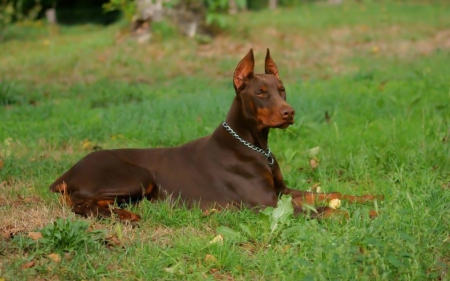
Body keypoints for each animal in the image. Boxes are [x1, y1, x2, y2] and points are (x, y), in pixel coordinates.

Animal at [49, 48, 382, 220]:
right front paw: (357, 214)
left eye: (282, 89)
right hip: (139, 176)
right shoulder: (266, 203)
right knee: (79, 203)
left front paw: (370, 198)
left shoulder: (281, 190)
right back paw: (126, 215)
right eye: (261, 93)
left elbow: (329, 193)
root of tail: (67, 172)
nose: (290, 113)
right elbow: (315, 207)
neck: (254, 145)